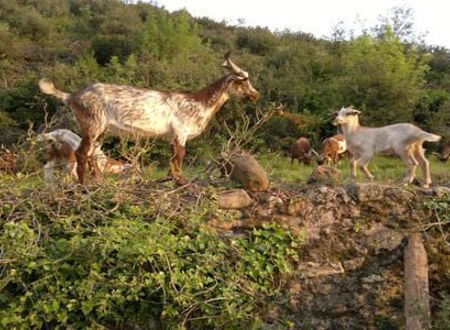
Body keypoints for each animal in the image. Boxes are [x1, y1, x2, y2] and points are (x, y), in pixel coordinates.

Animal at [39, 52, 260, 184]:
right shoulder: (181, 131)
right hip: (92, 124)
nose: (256, 95)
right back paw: (84, 183)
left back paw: (98, 182)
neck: (198, 102)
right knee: (81, 153)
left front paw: (171, 179)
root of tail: (72, 96)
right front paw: (181, 181)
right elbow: (179, 156)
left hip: (100, 130)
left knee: (92, 154)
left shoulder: (172, 135)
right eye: (242, 82)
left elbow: (172, 158)